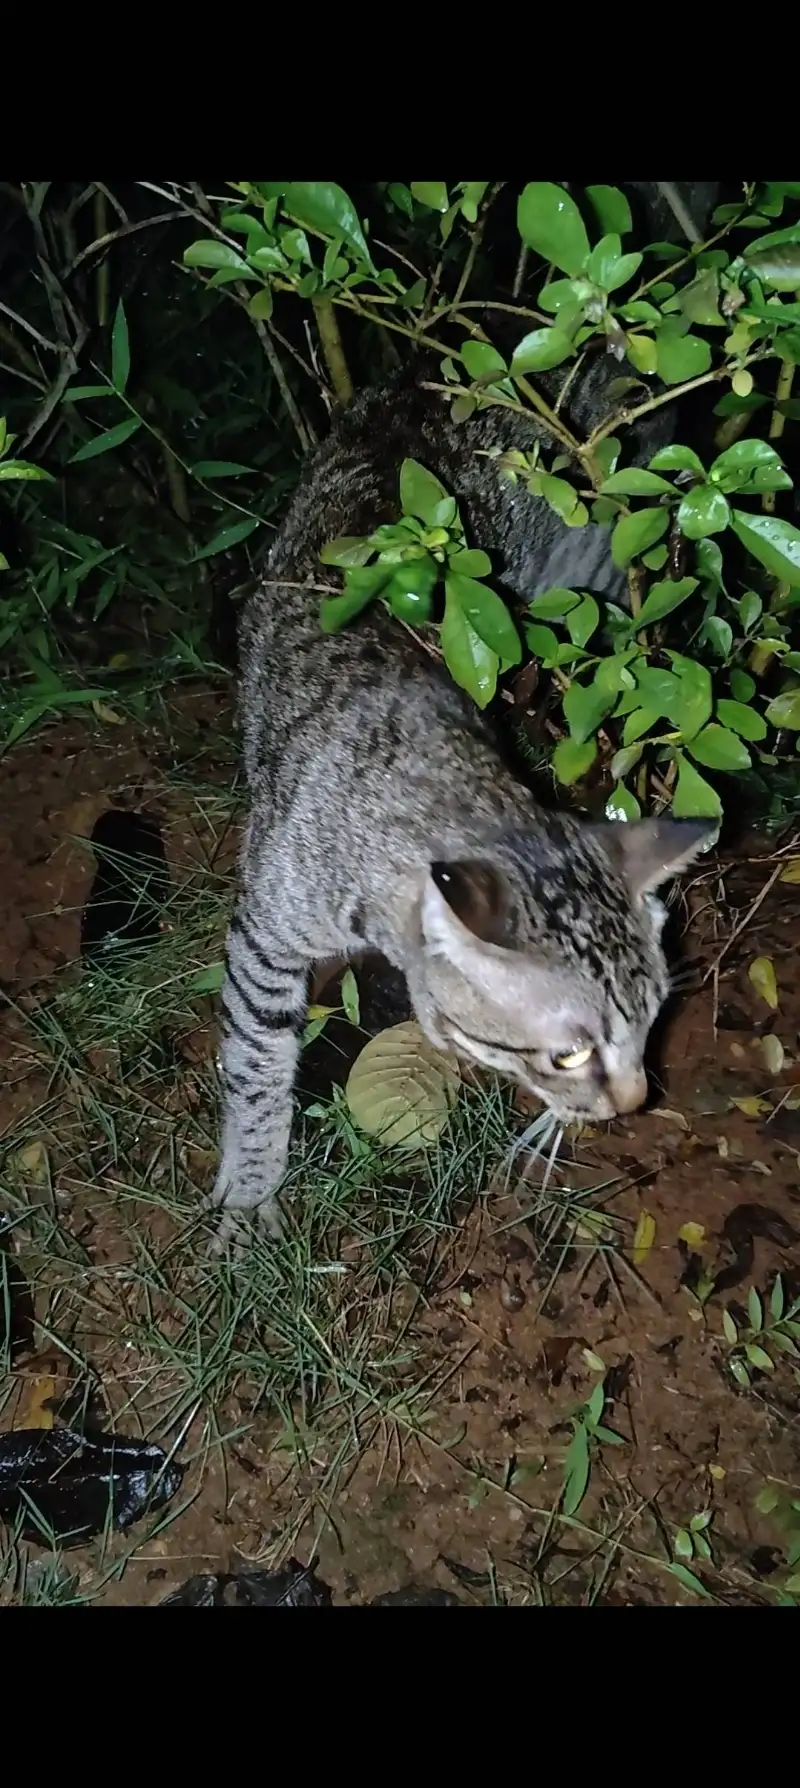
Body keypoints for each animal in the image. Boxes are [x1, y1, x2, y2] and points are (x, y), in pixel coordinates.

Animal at [212, 355, 715, 1237]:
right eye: (568, 1053)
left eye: (653, 1021)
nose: (634, 1103)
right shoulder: (266, 938)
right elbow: (255, 1067)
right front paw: (250, 1196)